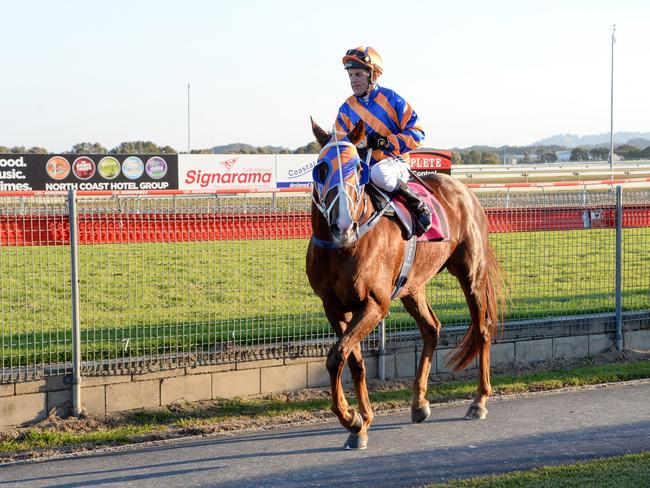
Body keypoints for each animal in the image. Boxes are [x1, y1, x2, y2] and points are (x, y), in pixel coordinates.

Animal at [306, 118, 504, 450]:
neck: (343, 246)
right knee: (431, 329)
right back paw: (419, 403)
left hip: (471, 275)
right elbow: (351, 361)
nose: (343, 225)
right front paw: (360, 423)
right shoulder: (334, 308)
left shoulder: (375, 304)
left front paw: (352, 418)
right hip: (413, 287)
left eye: (358, 168)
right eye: (321, 168)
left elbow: (337, 357)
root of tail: (463, 190)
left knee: (482, 329)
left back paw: (479, 401)